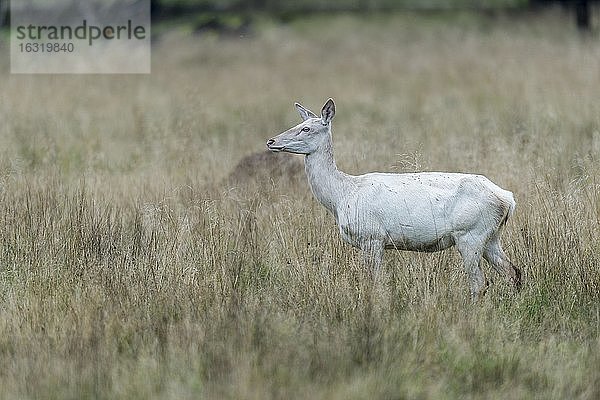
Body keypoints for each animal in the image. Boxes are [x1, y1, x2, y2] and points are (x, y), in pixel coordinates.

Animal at [268, 99, 520, 300]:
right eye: (297, 125)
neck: (341, 196)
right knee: (513, 272)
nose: (271, 141)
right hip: (491, 236)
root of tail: (508, 199)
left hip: (470, 234)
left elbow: (373, 283)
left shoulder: (372, 237)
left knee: (479, 283)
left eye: (306, 128)